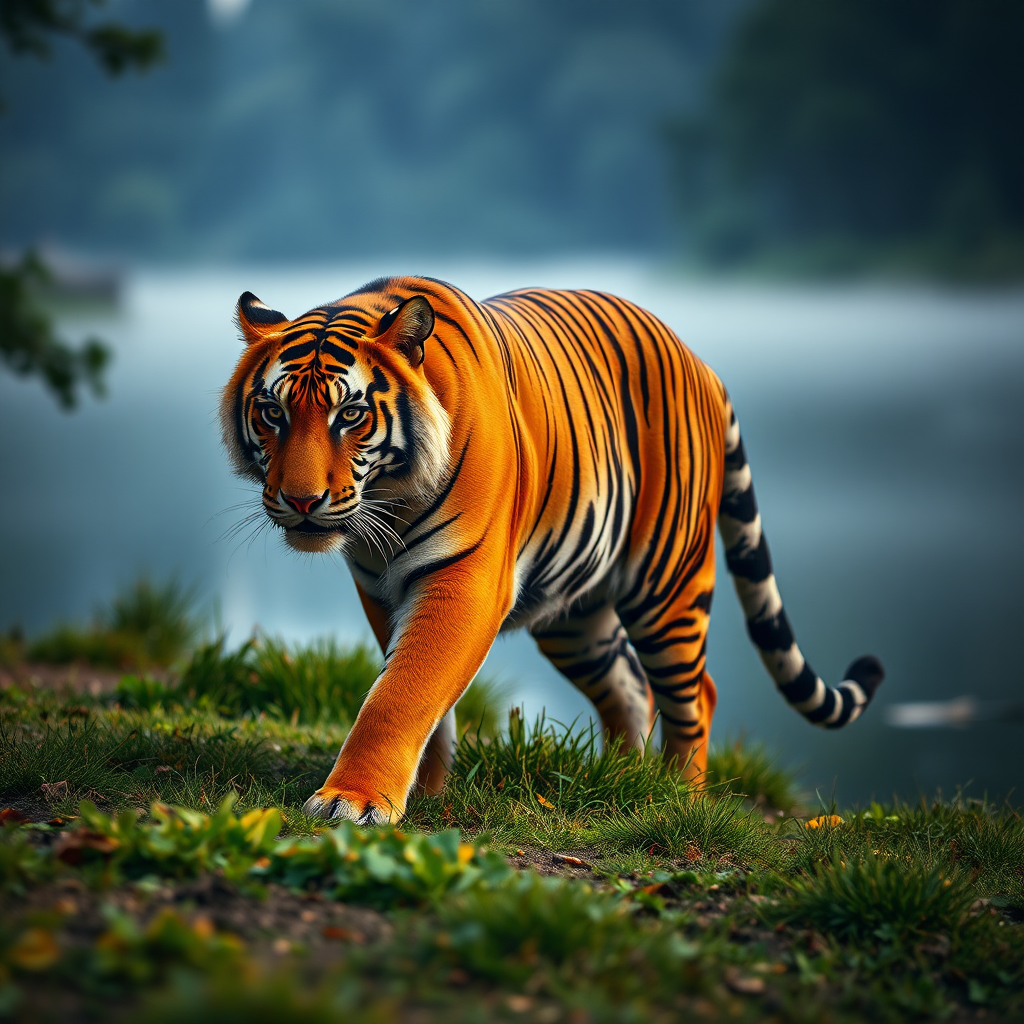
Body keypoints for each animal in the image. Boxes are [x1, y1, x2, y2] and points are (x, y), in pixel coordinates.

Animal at [221, 276, 884, 824]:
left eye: (351, 414)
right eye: (272, 412)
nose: (301, 500)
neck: (388, 501)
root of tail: (702, 365)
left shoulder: (464, 579)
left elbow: (400, 692)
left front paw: (353, 801)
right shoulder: (378, 590)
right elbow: (422, 695)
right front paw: (426, 790)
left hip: (668, 584)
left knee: (695, 691)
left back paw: (676, 798)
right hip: (576, 617)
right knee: (629, 685)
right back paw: (622, 780)